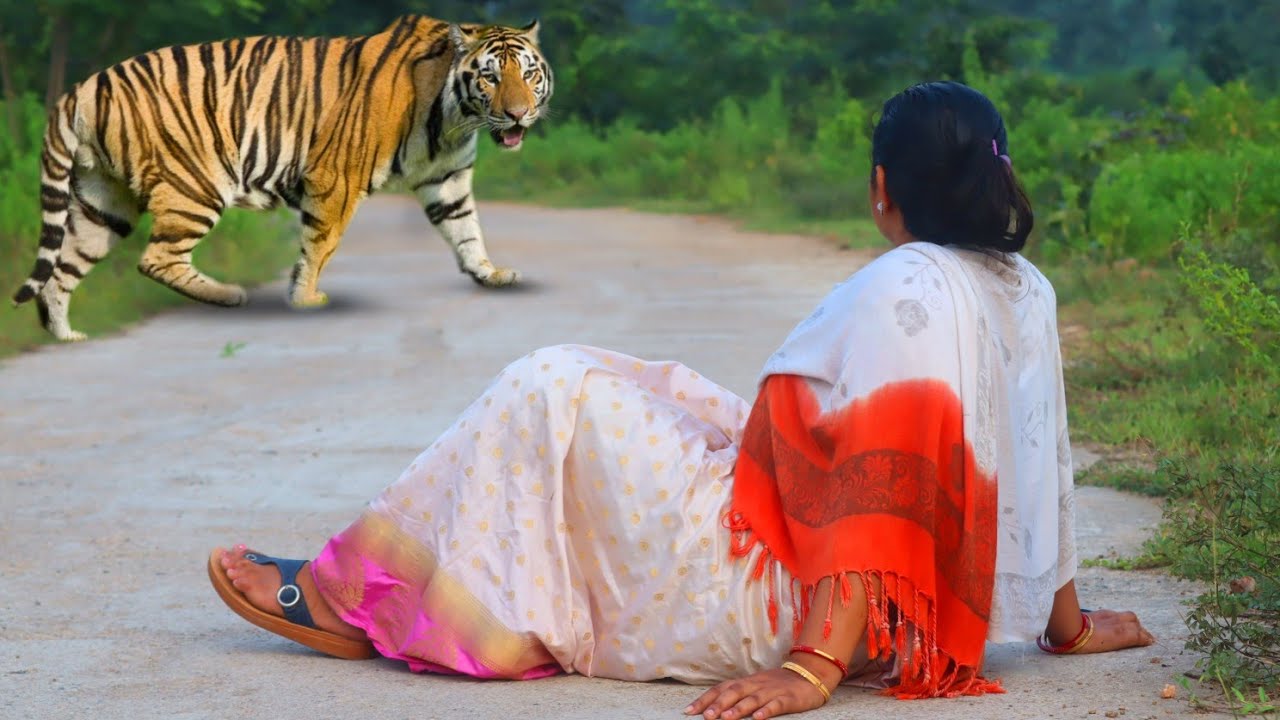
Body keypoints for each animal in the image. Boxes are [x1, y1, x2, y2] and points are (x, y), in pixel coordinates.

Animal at [11, 15, 553, 341]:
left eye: (528, 74)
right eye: (490, 76)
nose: (518, 114)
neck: (456, 116)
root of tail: (82, 87)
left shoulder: (449, 178)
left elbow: (466, 229)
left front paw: (489, 273)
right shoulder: (337, 177)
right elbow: (321, 243)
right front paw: (307, 298)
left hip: (103, 200)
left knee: (63, 268)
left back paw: (66, 336)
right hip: (195, 185)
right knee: (156, 259)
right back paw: (229, 295)